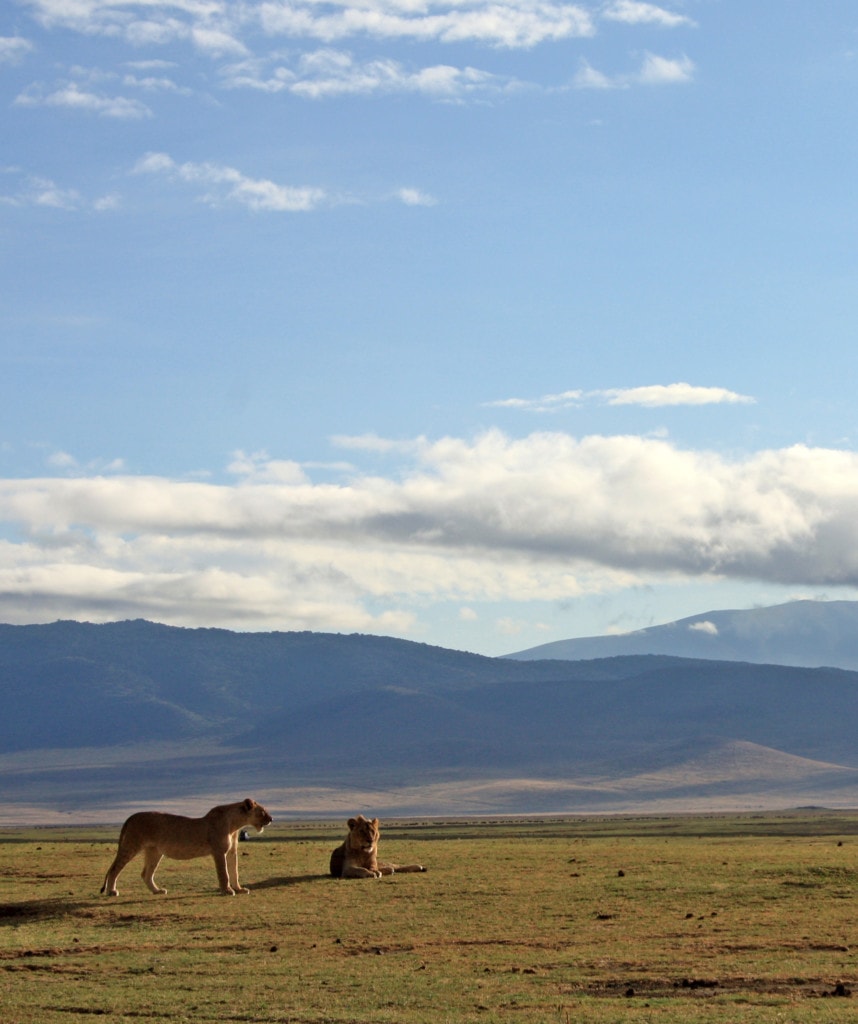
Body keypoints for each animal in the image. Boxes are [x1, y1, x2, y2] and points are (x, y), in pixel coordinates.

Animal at [100, 797, 273, 896]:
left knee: (146, 874)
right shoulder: (219, 852)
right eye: (262, 812)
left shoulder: (231, 852)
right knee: (114, 869)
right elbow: (224, 873)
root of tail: (131, 816)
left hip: (154, 851)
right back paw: (112, 891)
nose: (271, 819)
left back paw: (157, 891)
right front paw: (227, 890)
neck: (235, 825)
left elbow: (234, 872)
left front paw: (240, 889)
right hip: (131, 845)